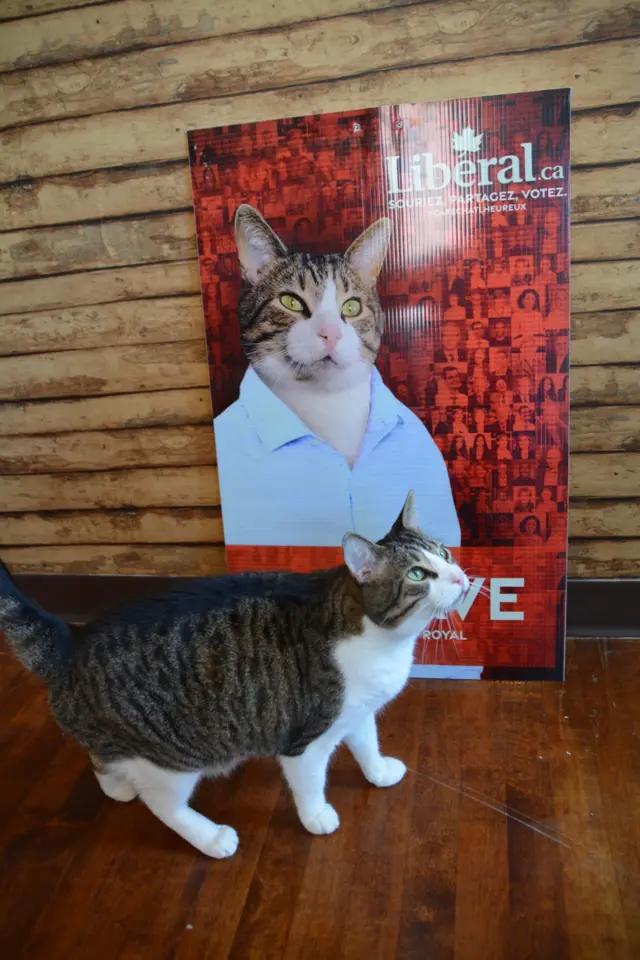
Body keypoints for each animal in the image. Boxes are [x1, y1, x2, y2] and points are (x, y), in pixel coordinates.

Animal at [2, 496, 468, 856]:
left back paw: (116, 787)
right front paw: (317, 816)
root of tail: (70, 645)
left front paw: (379, 772)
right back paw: (211, 838)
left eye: (444, 553)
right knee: (164, 805)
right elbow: (309, 783)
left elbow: (367, 745)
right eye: (417, 574)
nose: (463, 578)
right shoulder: (304, 740)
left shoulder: (357, 713)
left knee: (100, 759)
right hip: (174, 757)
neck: (382, 640)